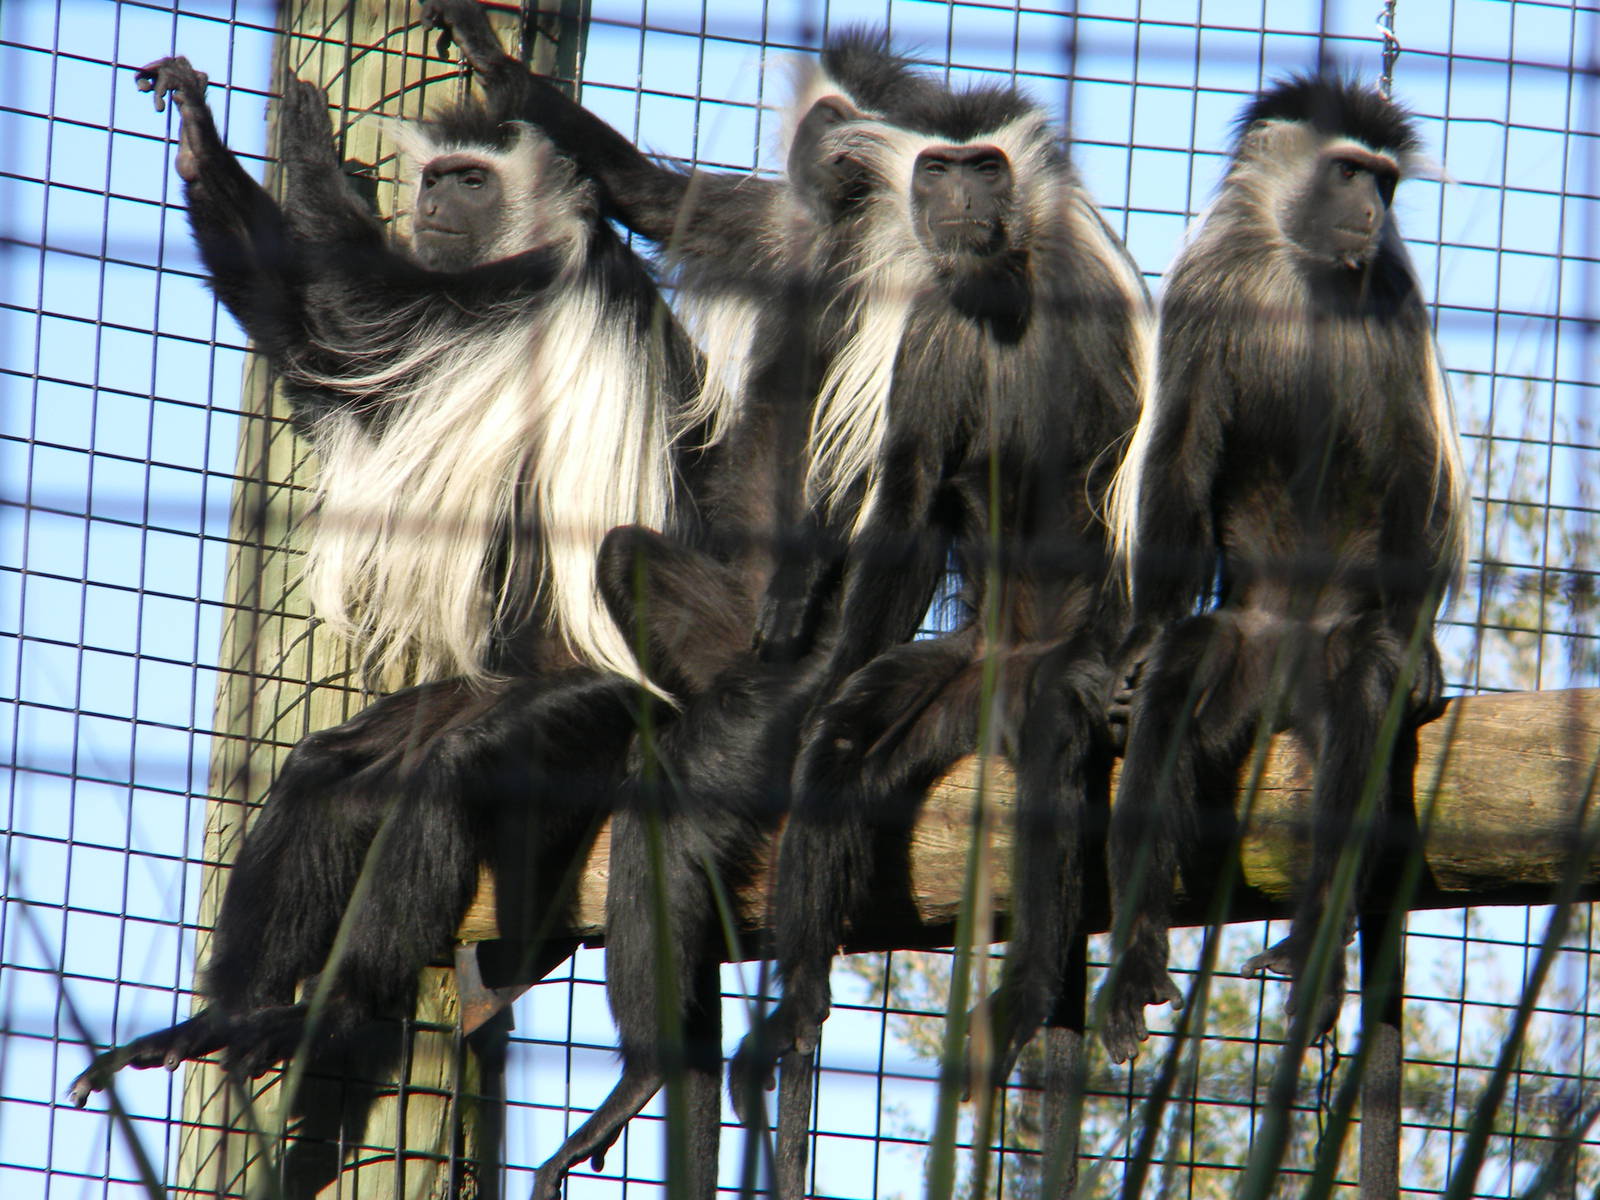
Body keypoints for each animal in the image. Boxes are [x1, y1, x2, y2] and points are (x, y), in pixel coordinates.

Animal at [67, 28, 712, 1107]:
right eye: (442, 177)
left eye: (472, 179)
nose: (435, 204)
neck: (560, 245)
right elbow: (311, 341)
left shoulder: (506, 296)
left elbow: (336, 322)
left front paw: (252, 143)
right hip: (462, 694)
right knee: (332, 777)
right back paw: (229, 1017)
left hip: (587, 703)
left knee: (454, 777)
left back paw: (337, 1016)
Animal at [1096, 74, 1468, 1065]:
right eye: (1347, 173)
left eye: (1386, 181)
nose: (1375, 210)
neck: (1298, 273)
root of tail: (1287, 664)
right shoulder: (1208, 285)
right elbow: (1182, 450)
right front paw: (1137, 640)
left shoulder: (1392, 297)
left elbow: (1413, 465)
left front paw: (1424, 653)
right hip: (1237, 645)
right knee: (1174, 696)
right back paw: (1134, 971)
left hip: (1341, 651)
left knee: (1361, 712)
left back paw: (1309, 960)